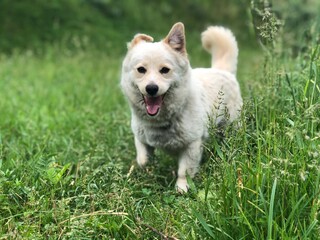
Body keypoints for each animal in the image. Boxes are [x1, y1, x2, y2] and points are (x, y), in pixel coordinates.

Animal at [120, 22, 242, 191]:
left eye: (165, 70)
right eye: (141, 70)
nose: (151, 88)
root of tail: (222, 70)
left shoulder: (192, 145)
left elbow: (185, 171)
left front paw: (182, 188)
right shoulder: (141, 138)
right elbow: (143, 159)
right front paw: (149, 168)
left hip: (233, 126)